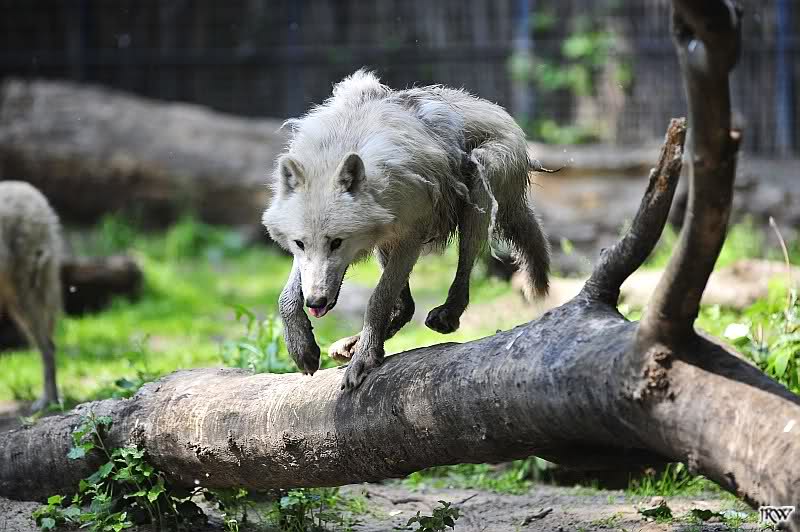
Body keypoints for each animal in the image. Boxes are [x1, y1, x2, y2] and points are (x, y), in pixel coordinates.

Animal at [262, 70, 550, 390]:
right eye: (299, 244)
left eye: (337, 242)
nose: (316, 302)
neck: (339, 147)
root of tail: (498, 111)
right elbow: (286, 298)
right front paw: (302, 348)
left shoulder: (410, 237)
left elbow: (378, 299)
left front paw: (364, 359)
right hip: (383, 245)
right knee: (407, 306)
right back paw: (354, 343)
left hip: (477, 186)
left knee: (463, 270)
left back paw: (446, 315)